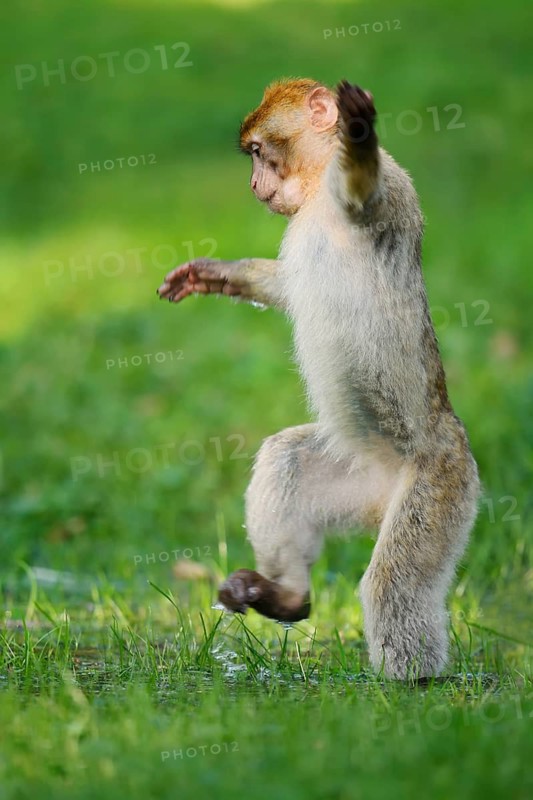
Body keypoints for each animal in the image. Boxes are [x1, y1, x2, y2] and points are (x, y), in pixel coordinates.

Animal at [157, 78, 481, 679]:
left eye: (258, 152)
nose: (252, 183)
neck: (312, 196)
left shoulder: (382, 195)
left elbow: (364, 189)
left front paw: (359, 136)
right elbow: (287, 285)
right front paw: (219, 274)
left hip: (439, 486)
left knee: (392, 584)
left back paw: (413, 683)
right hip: (354, 479)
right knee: (284, 459)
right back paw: (287, 597)